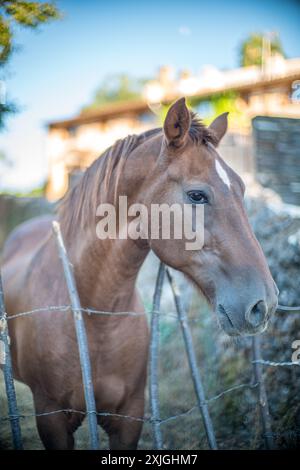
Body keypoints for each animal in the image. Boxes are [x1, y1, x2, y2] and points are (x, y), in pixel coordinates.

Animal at [1, 98, 278, 448]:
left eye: (242, 190)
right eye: (197, 195)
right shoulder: (52, 418)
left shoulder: (130, 417)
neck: (96, 315)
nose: (264, 304)